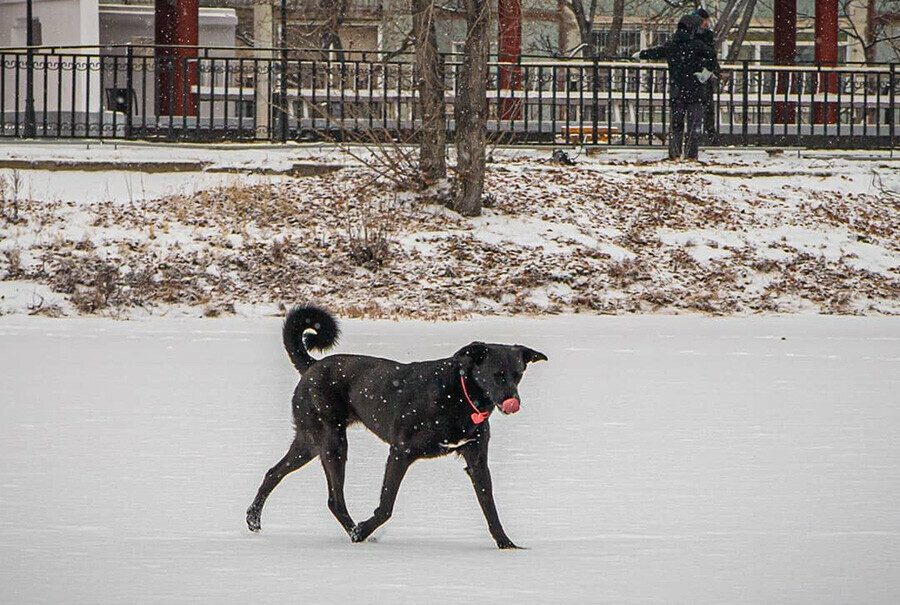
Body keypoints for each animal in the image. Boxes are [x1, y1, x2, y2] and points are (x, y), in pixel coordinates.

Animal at [243, 306, 544, 548]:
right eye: (497, 374)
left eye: (518, 374)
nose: (513, 401)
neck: (460, 394)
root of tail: (312, 366)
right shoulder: (400, 452)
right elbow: (386, 506)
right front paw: (364, 530)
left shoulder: (477, 460)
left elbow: (490, 507)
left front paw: (506, 545)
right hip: (332, 442)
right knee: (334, 499)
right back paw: (355, 533)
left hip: (308, 442)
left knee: (274, 472)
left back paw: (254, 518)